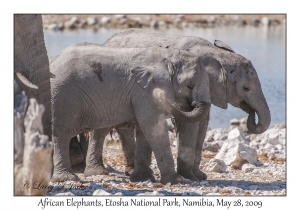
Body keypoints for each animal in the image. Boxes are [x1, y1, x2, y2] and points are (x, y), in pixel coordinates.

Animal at [50, 42, 211, 184]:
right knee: (61, 134)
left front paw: (142, 178)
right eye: (190, 85)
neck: (167, 56)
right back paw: (67, 178)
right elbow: (153, 126)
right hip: (62, 97)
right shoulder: (145, 92)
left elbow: (145, 129)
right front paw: (175, 181)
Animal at [75, 28, 272, 182]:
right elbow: (189, 123)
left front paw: (199, 177)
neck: (217, 54)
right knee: (102, 128)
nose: (250, 114)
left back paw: (132, 172)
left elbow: (202, 124)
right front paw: (189, 177)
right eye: (246, 88)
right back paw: (98, 172)